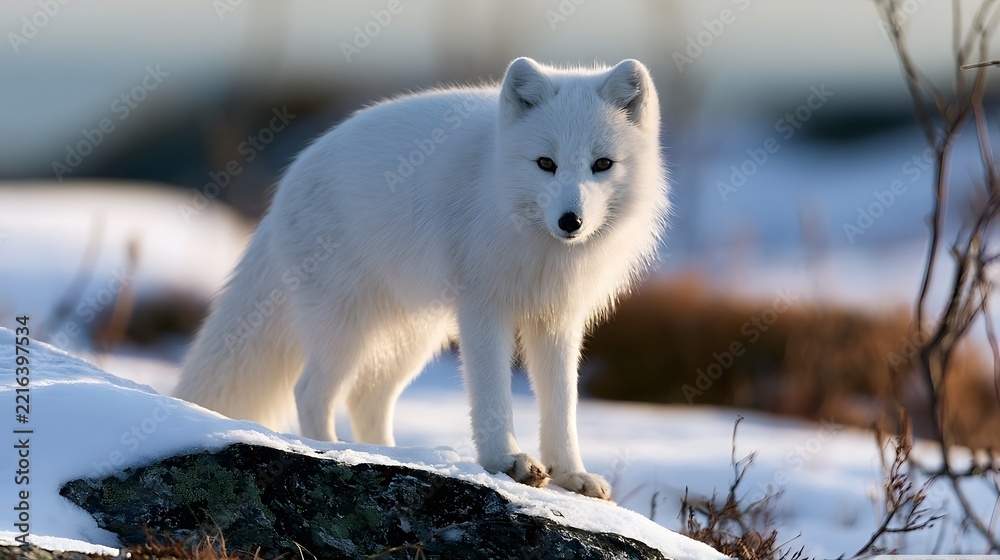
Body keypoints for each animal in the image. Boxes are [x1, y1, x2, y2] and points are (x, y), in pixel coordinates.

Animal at [174, 57, 669, 499]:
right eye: (545, 163)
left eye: (602, 164)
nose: (571, 221)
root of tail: (288, 183)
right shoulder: (483, 308)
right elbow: (492, 396)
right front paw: (506, 462)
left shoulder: (559, 318)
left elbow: (563, 404)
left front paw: (571, 475)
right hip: (346, 327)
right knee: (311, 392)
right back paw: (331, 452)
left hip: (412, 337)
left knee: (366, 400)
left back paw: (389, 456)